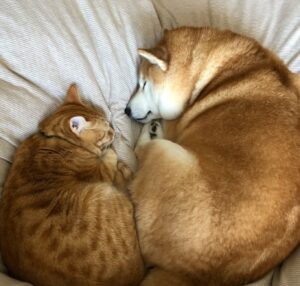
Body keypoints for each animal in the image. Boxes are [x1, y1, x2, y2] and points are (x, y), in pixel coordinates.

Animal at [0, 84, 144, 286]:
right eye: (105, 130)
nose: (114, 131)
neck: (57, 140)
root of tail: (138, 277)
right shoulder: (101, 174)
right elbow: (109, 159)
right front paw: (110, 152)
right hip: (105, 191)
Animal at [125, 26, 300, 286]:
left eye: (143, 83)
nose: (125, 110)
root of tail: (184, 273)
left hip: (166, 152)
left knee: (142, 150)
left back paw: (151, 132)